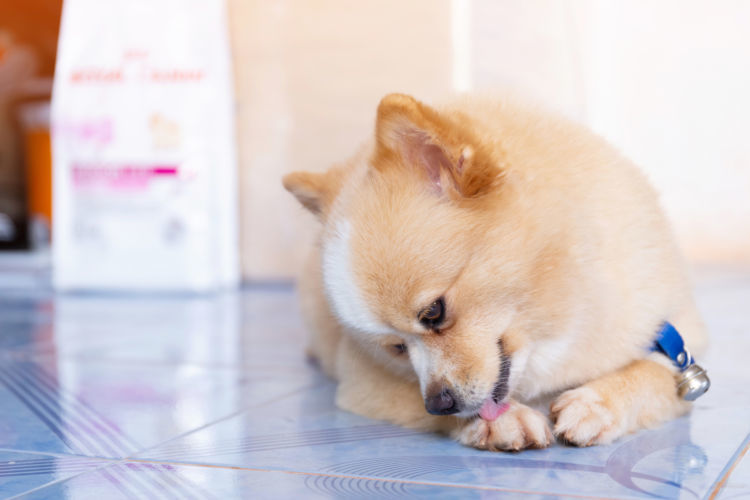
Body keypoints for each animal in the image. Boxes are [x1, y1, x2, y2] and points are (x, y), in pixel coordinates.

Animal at [284, 93, 712, 450]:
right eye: (397, 349)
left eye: (434, 312)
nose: (439, 403)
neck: (553, 325)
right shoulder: (361, 382)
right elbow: (415, 397)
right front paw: (499, 422)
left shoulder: (679, 347)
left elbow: (653, 373)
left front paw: (598, 403)